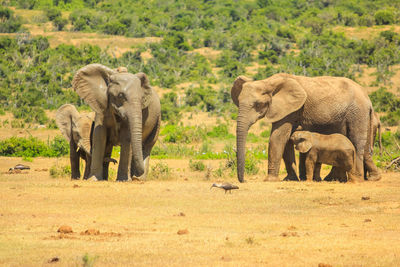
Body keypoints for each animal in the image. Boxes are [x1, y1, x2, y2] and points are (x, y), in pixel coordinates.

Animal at [230, 72, 380, 183]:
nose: (243, 181)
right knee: (362, 146)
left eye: (258, 104)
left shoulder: (291, 109)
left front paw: (270, 180)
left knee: (357, 142)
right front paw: (290, 179)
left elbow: (278, 137)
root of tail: (368, 99)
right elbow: (286, 140)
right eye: (238, 102)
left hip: (357, 113)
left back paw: (356, 180)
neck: (268, 82)